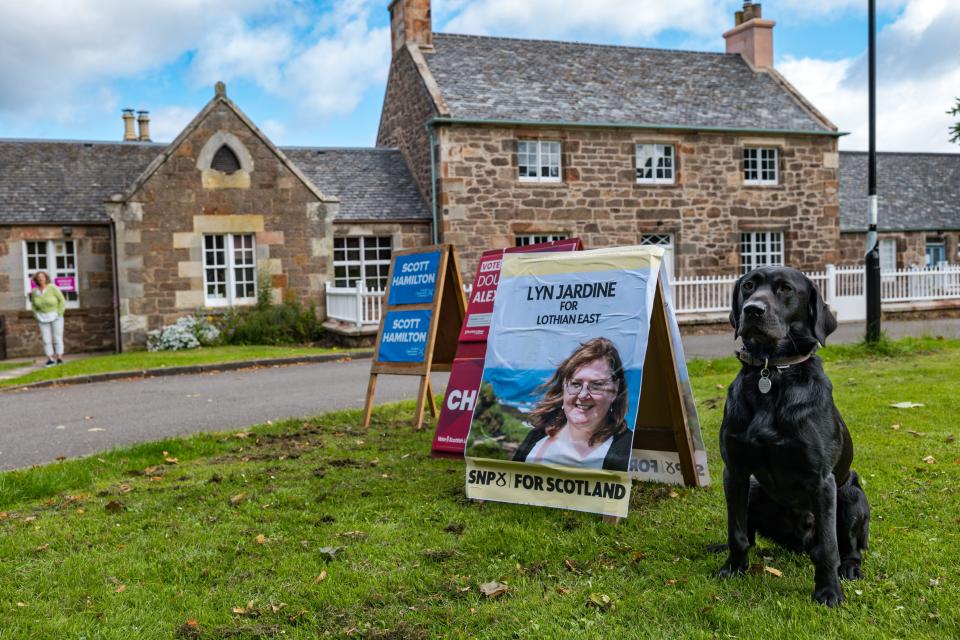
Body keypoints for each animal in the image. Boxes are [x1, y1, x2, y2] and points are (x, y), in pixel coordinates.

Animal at [720, 264, 872, 604]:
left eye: (785, 289)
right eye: (748, 286)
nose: (752, 310)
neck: (772, 372)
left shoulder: (822, 482)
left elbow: (828, 548)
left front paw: (828, 592)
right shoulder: (735, 471)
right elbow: (737, 533)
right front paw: (733, 568)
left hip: (851, 495)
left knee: (849, 547)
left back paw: (850, 568)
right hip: (754, 490)